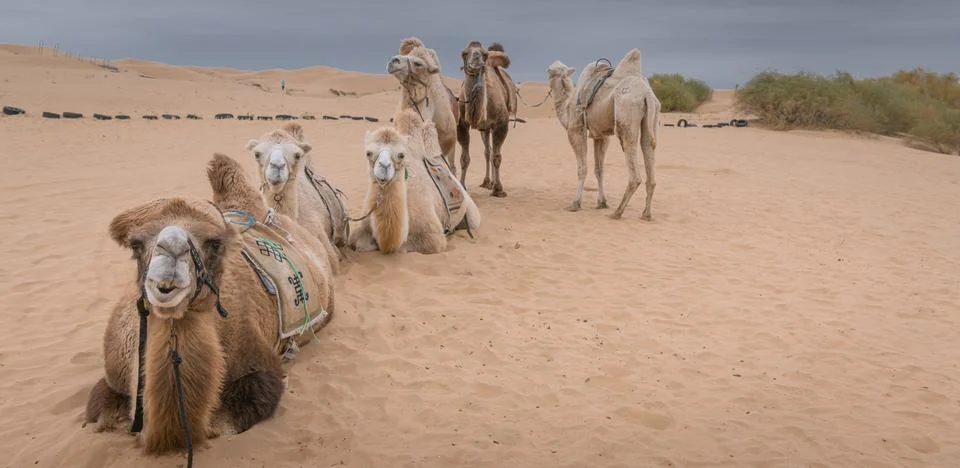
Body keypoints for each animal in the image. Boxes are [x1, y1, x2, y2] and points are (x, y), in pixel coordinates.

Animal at [84, 153, 336, 459]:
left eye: (215, 244)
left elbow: (223, 423)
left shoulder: (258, 364)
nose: (170, 260)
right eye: (136, 245)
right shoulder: (113, 377)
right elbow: (101, 416)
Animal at [347, 108, 481, 254]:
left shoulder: (433, 236)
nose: (384, 167)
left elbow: (400, 248)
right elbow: (359, 243)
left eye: (401, 155)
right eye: (368, 153)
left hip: (471, 213)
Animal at [457, 41, 518, 198]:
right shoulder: (461, 125)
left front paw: (498, 189)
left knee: (491, 153)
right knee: (487, 151)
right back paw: (486, 182)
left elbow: (497, 157)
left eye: (484, 54)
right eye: (464, 53)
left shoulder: (501, 125)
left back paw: (492, 183)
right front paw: (462, 185)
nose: (476, 58)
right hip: (484, 129)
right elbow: (464, 158)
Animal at [546, 49, 661, 220]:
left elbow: (582, 168)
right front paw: (602, 202)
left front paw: (575, 204)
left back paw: (617, 212)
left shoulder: (575, 129)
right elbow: (599, 169)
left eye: (549, 71)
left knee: (633, 167)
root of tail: (647, 94)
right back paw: (646, 214)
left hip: (626, 113)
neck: (566, 107)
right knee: (647, 148)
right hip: (652, 117)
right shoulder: (602, 135)